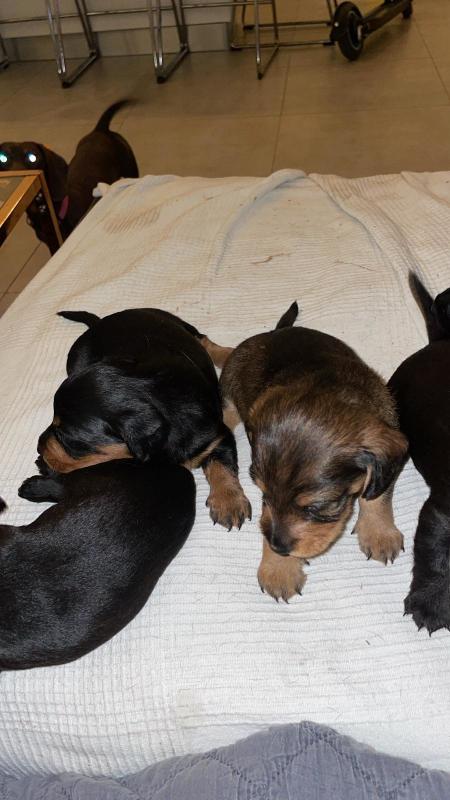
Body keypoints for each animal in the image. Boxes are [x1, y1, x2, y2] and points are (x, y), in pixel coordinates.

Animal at [0, 99, 138, 254]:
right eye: (2, 158)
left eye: (32, 157)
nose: (16, 176)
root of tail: (101, 130)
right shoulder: (52, 244)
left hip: (131, 170)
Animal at [38, 308, 251, 531]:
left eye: (66, 437)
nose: (39, 447)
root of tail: (101, 321)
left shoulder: (216, 436)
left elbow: (222, 466)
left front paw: (229, 503)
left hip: (176, 322)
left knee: (204, 340)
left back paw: (230, 353)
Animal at [205, 302, 408, 601]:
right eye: (263, 493)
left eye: (316, 507)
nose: (278, 548)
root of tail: (273, 332)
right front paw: (278, 569)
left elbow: (377, 496)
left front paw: (379, 533)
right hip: (229, 395)